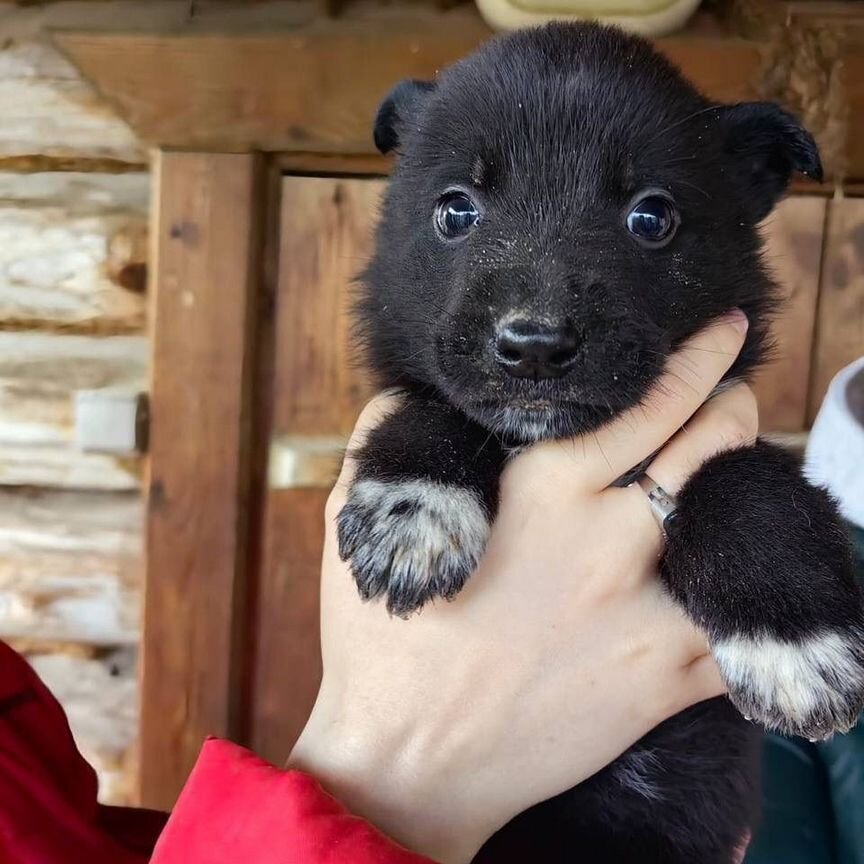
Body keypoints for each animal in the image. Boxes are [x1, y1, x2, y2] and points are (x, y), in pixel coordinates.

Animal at [336, 22, 864, 864]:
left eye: (652, 218)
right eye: (456, 210)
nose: (534, 346)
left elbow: (749, 478)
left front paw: (793, 641)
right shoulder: (428, 388)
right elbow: (435, 408)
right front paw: (415, 510)